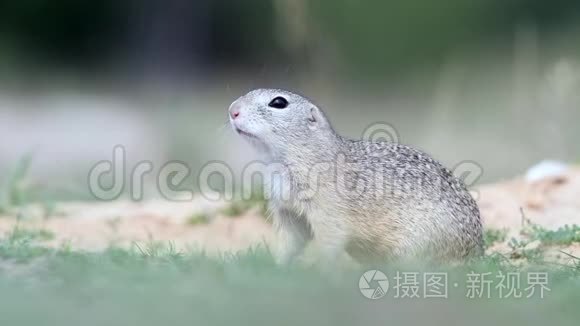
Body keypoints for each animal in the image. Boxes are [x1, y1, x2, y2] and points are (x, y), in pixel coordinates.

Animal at [229, 88, 482, 264]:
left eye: (278, 102)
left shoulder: (329, 212)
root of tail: (477, 253)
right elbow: (291, 243)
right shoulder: (287, 211)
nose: (232, 110)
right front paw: (278, 267)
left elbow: (329, 243)